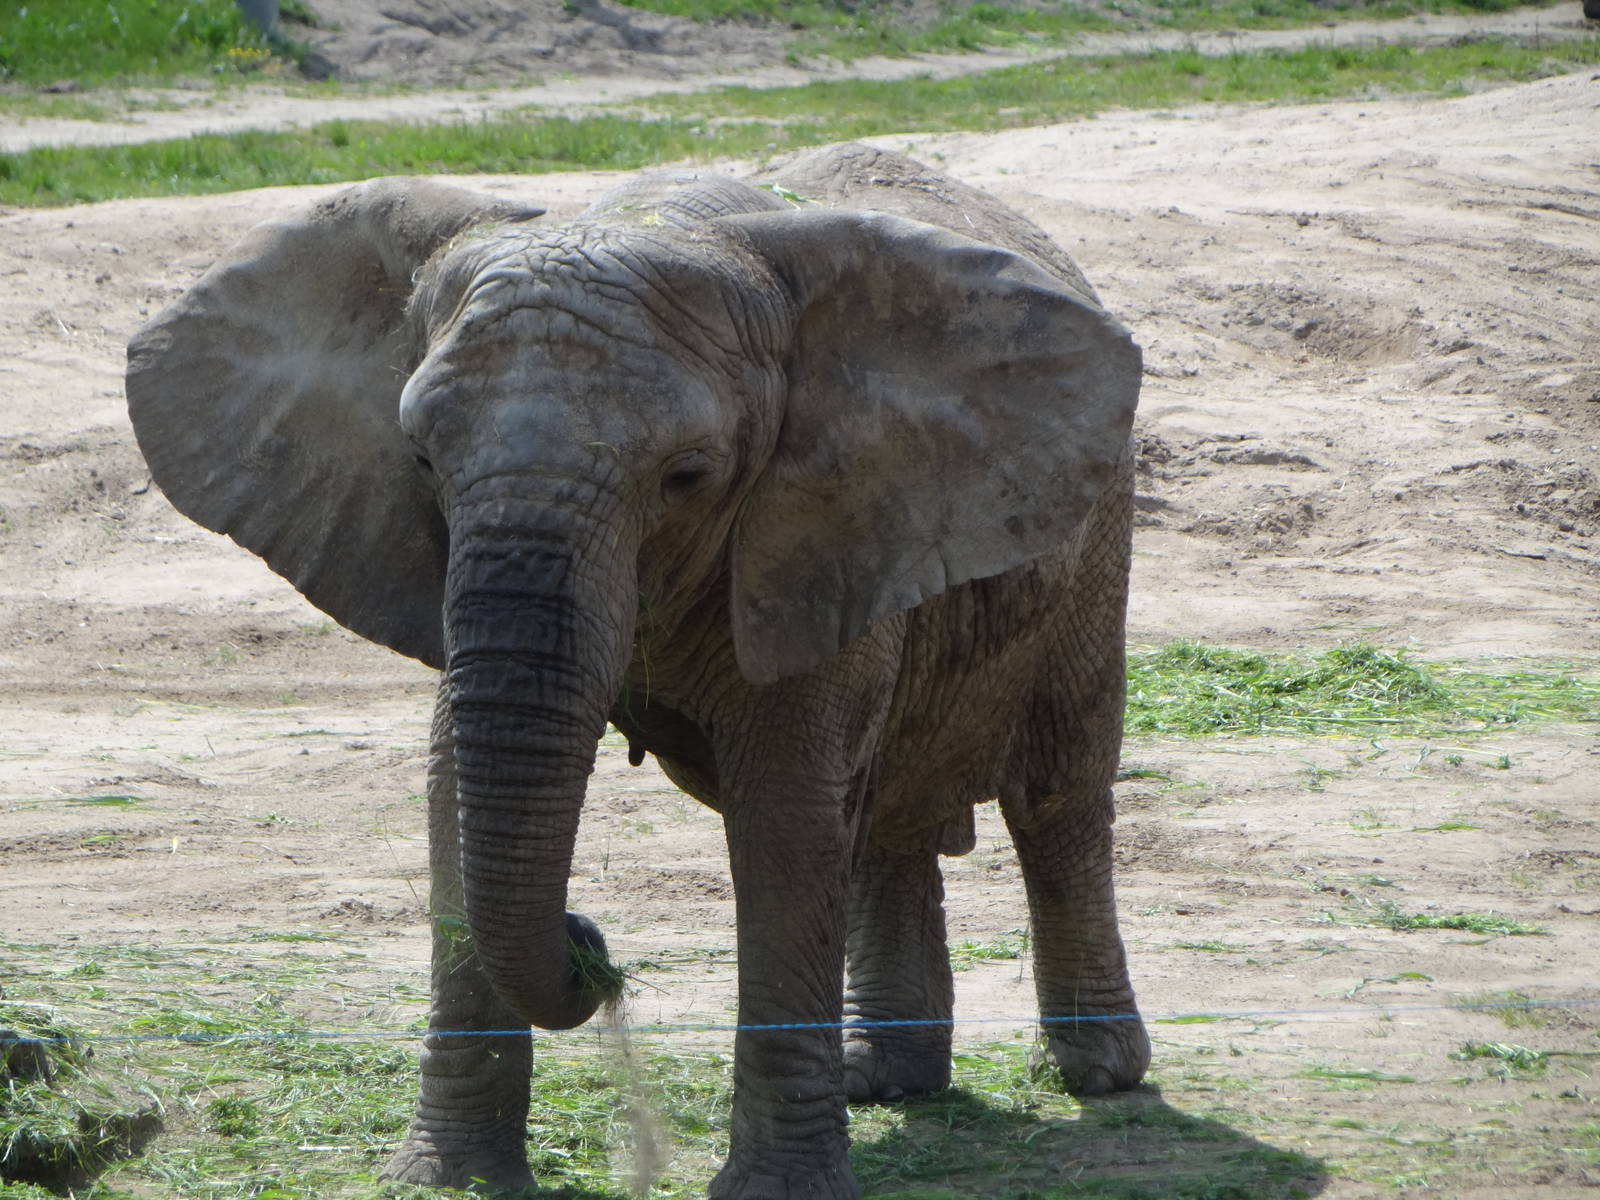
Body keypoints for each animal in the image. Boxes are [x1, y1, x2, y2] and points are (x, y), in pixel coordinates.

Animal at [125, 142, 1149, 1198]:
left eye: (687, 476)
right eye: (420, 459)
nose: (591, 941)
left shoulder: (811, 519)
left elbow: (786, 813)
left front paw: (773, 1193)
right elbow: (454, 781)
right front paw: (449, 1181)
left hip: (1096, 531)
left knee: (1057, 789)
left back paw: (1097, 1072)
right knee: (883, 811)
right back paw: (883, 1081)